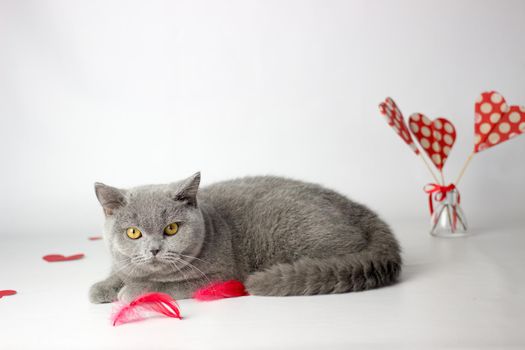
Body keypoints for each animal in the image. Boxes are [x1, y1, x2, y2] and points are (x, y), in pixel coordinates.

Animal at [90, 173, 402, 304]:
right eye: (133, 232)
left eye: (171, 229)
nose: (154, 249)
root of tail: (356, 208)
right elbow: (119, 274)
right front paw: (102, 287)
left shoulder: (219, 275)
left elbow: (167, 285)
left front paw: (131, 291)